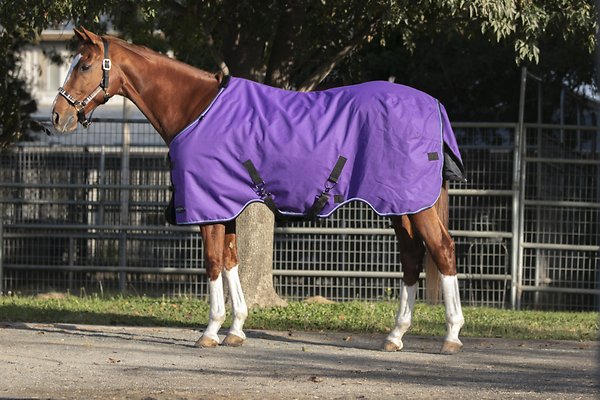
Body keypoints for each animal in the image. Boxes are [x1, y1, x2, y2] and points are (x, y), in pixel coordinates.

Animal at [50, 27, 464, 354]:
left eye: (84, 66)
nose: (57, 115)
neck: (197, 109)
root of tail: (434, 104)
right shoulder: (225, 206)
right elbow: (231, 261)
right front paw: (235, 330)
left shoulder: (209, 207)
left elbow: (213, 263)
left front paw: (210, 331)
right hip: (400, 204)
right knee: (411, 258)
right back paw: (395, 335)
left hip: (415, 205)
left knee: (442, 249)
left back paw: (451, 336)